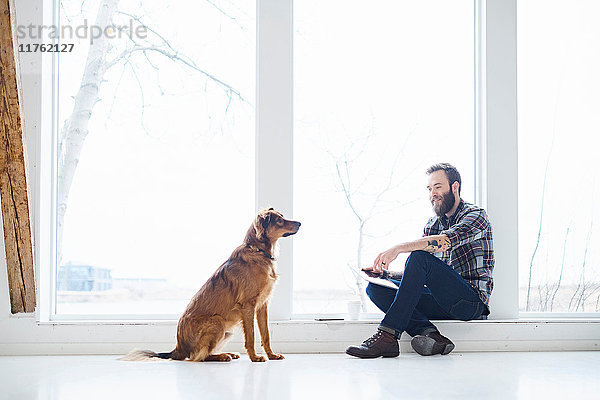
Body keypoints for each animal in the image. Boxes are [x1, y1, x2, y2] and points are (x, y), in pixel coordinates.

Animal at [123, 209, 300, 362]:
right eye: (279, 220)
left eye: (282, 217)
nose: (299, 223)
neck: (258, 251)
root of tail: (179, 348)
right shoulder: (248, 306)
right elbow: (251, 336)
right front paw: (255, 358)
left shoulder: (262, 306)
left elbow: (266, 334)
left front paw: (271, 355)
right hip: (217, 322)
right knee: (198, 357)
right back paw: (222, 356)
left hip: (227, 331)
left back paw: (227, 354)